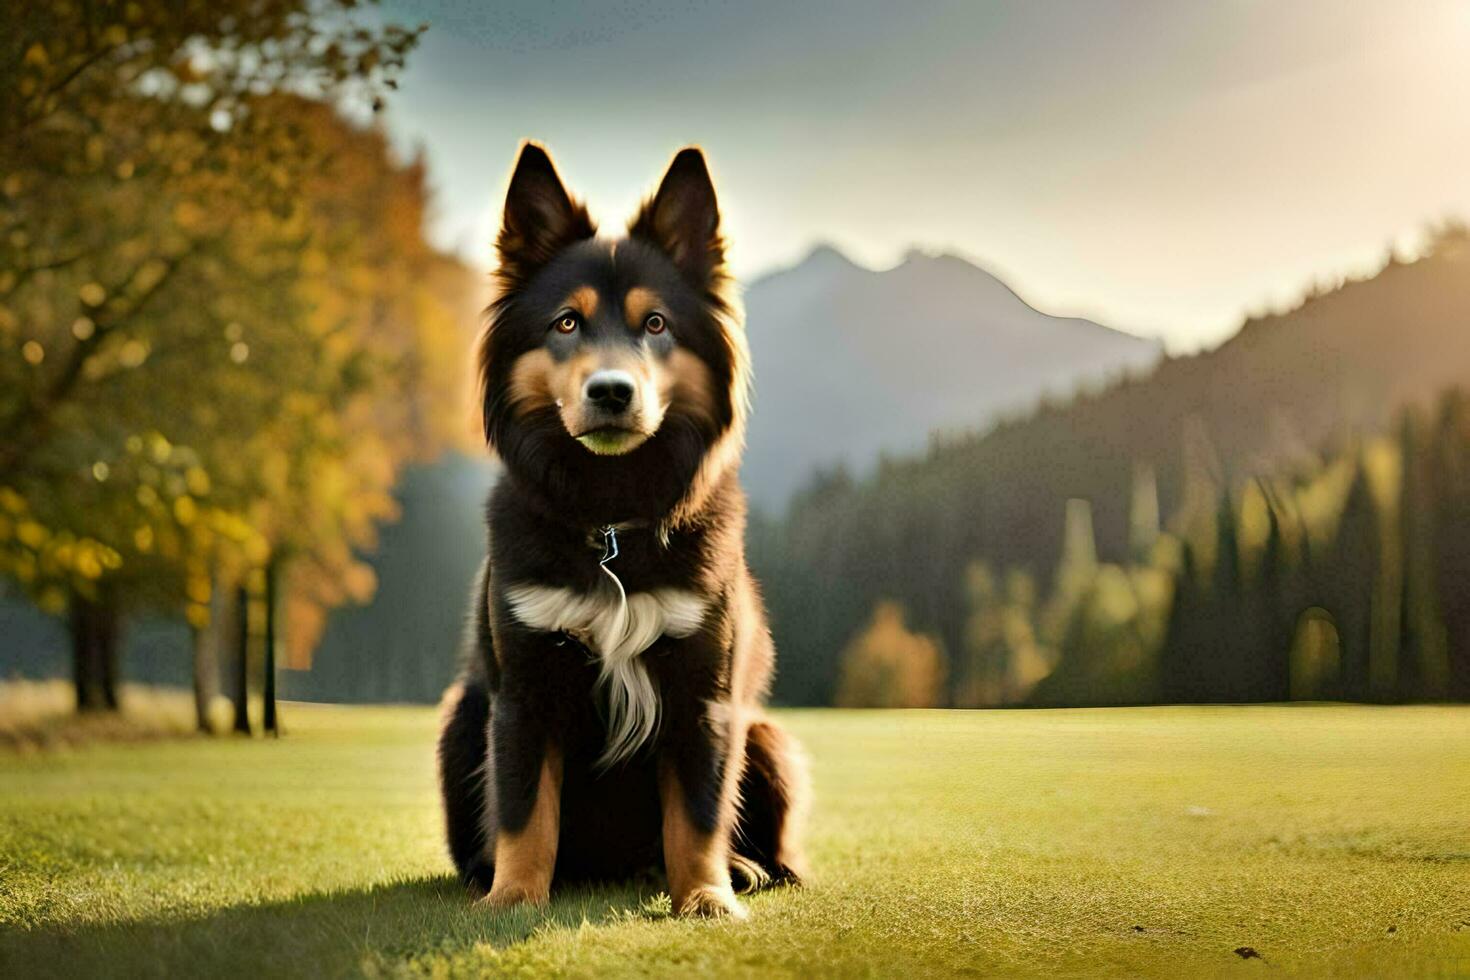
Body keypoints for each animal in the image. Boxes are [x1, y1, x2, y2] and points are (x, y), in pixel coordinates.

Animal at [435, 139, 811, 922]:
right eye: (566, 323)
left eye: (656, 324)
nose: (611, 392)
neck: (609, 518)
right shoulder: (523, 695)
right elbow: (523, 810)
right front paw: (512, 895)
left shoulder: (705, 698)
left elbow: (696, 812)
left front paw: (706, 896)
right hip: (462, 718)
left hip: (766, 735)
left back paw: (746, 868)